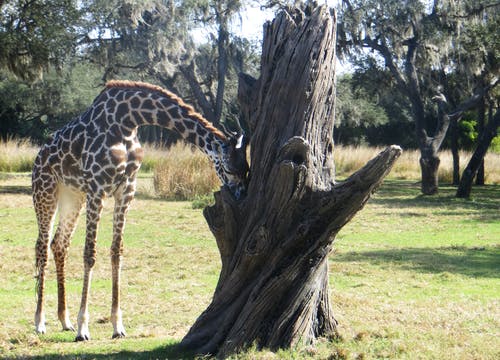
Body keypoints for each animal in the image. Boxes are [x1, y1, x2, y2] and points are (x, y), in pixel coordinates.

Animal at [32, 80, 248, 342]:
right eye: (229, 168)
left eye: (247, 169)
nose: (241, 195)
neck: (127, 121)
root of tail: (37, 158)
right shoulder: (97, 187)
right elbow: (90, 253)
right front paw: (84, 328)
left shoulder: (126, 189)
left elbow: (117, 251)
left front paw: (117, 326)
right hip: (46, 191)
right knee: (41, 247)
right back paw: (40, 322)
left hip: (73, 196)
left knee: (59, 244)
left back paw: (65, 320)